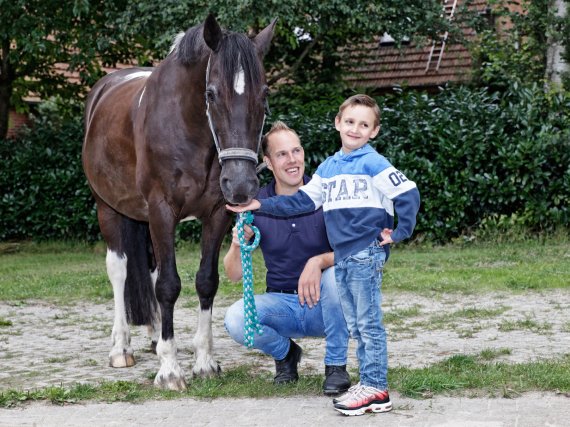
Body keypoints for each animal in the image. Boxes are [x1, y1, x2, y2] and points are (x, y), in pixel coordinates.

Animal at [81, 14, 276, 392]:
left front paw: (204, 362)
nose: (241, 185)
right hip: (107, 208)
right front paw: (170, 370)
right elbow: (169, 286)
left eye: (264, 94)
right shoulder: (161, 211)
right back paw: (121, 348)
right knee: (119, 270)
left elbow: (205, 281)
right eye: (211, 93)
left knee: (151, 268)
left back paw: (155, 337)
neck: (188, 129)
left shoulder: (216, 214)